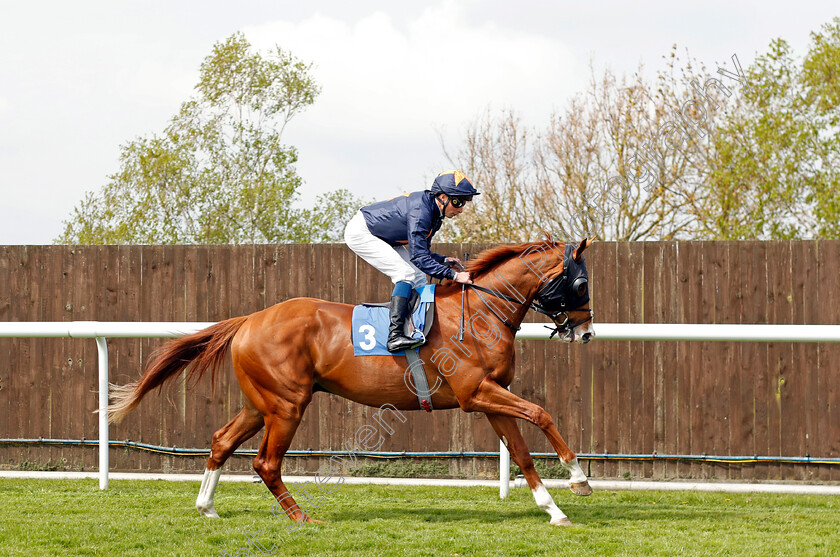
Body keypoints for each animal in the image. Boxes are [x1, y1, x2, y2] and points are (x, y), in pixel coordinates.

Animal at [108, 235, 592, 524]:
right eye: (581, 284)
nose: (586, 332)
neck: (480, 312)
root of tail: (250, 319)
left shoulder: (492, 395)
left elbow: (523, 453)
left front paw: (554, 510)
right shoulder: (476, 393)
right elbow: (542, 414)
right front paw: (579, 478)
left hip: (260, 403)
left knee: (221, 441)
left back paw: (206, 506)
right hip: (287, 405)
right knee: (266, 463)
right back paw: (301, 518)